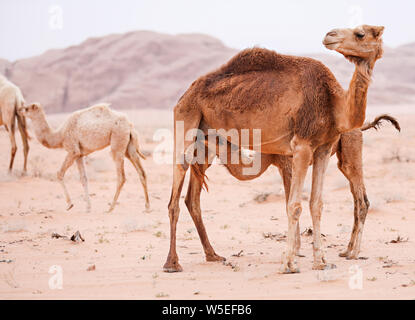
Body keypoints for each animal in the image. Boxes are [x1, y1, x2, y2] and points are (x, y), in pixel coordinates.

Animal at [19, 102, 150, 212]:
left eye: (27, 108)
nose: (19, 110)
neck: (60, 135)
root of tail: (130, 126)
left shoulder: (73, 150)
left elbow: (59, 173)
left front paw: (70, 204)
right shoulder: (79, 155)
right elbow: (83, 179)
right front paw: (88, 207)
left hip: (118, 141)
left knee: (121, 176)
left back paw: (110, 208)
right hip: (129, 146)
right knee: (142, 172)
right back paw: (147, 207)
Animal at [164, 25, 386, 274]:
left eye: (360, 34)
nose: (330, 35)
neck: (334, 103)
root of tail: (186, 93)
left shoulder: (322, 148)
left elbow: (316, 204)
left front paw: (320, 261)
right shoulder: (300, 147)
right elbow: (294, 205)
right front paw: (289, 263)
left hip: (204, 143)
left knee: (192, 198)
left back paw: (212, 255)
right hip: (187, 118)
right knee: (177, 187)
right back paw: (172, 263)